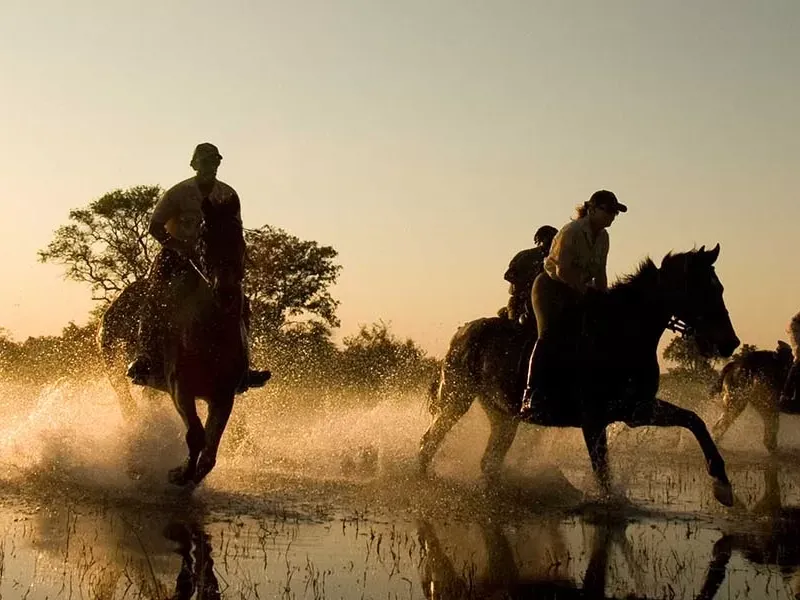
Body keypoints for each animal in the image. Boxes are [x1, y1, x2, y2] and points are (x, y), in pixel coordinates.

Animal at [98, 199, 250, 486]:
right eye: (204, 240)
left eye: (240, 239)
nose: (225, 292)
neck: (208, 334)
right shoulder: (180, 388)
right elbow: (196, 436)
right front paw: (179, 474)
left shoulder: (223, 396)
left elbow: (210, 450)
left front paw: (192, 476)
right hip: (113, 364)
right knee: (126, 403)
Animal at [419, 245, 740, 507]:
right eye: (704, 290)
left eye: (721, 289)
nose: (730, 343)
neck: (621, 335)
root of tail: (462, 332)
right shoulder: (594, 420)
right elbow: (603, 473)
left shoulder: (637, 410)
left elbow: (694, 420)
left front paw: (723, 486)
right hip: (457, 398)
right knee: (428, 442)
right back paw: (423, 485)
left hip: (502, 415)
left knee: (489, 460)